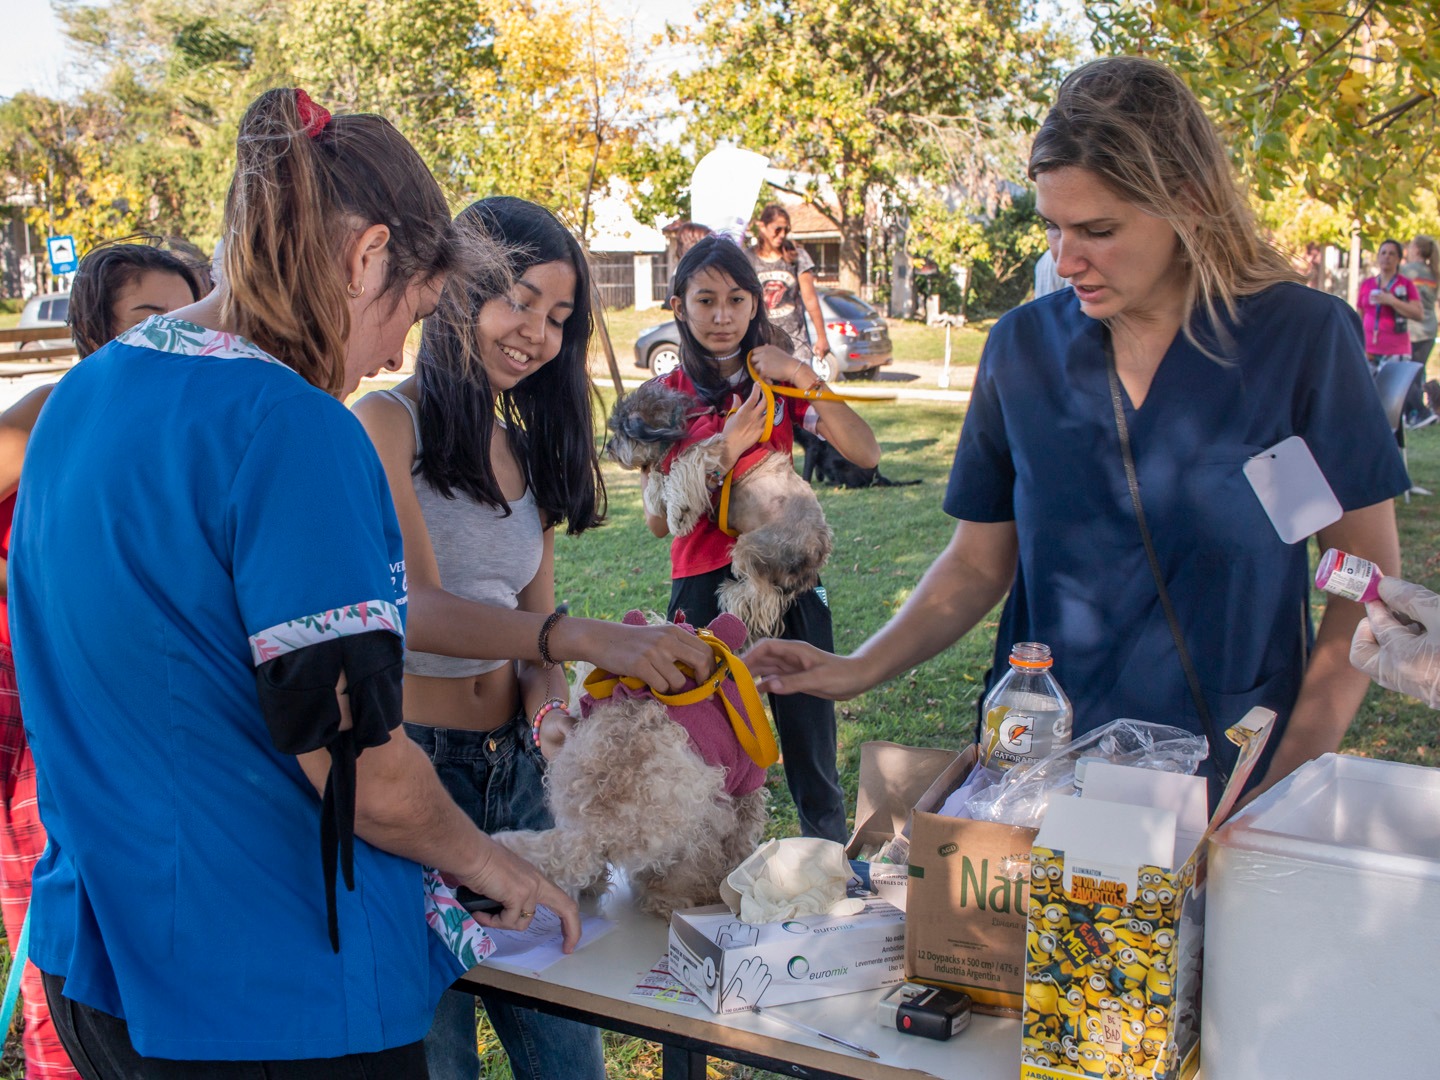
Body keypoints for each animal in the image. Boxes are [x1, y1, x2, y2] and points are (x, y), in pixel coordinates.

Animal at [604, 377, 835, 642]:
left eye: (620, 433)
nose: (608, 447)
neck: (679, 426)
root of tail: (815, 554)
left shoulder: (706, 446)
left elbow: (679, 468)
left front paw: (677, 514)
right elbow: (658, 474)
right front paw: (655, 497)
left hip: (751, 546)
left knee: (763, 598)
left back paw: (732, 595)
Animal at [789, 426, 921, 489]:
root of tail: (877, 474)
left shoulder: (812, 446)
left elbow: (807, 471)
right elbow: (816, 469)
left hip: (835, 463)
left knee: (856, 484)